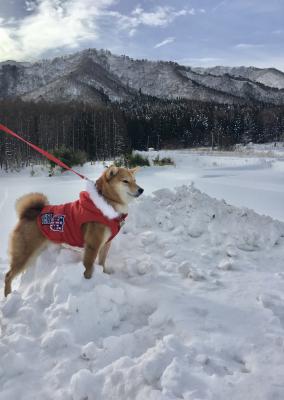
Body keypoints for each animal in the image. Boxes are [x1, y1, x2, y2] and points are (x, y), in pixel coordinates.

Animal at [3, 166, 143, 296]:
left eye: (135, 180)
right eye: (125, 181)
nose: (141, 190)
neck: (105, 204)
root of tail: (28, 214)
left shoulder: (106, 243)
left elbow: (102, 262)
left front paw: (104, 273)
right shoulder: (93, 245)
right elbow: (88, 266)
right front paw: (87, 281)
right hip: (24, 253)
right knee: (8, 275)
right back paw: (8, 294)